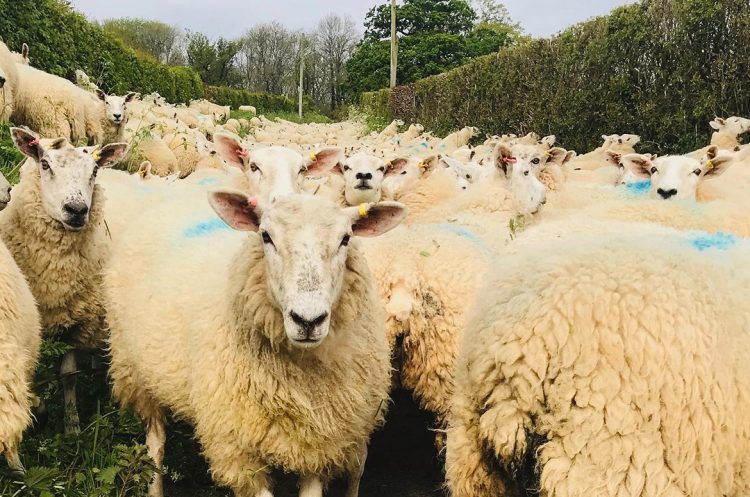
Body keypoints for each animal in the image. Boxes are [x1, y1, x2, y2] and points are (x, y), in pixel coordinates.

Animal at [1, 127, 128, 434]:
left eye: (94, 170)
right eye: (45, 164)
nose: (76, 209)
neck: (55, 272)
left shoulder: (76, 320)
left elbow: (69, 374)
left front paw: (72, 426)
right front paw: (40, 409)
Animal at [106, 191, 406, 497]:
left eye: (345, 238)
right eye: (266, 236)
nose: (308, 320)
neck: (300, 380)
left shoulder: (318, 444)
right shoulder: (238, 451)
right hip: (134, 370)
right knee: (155, 444)